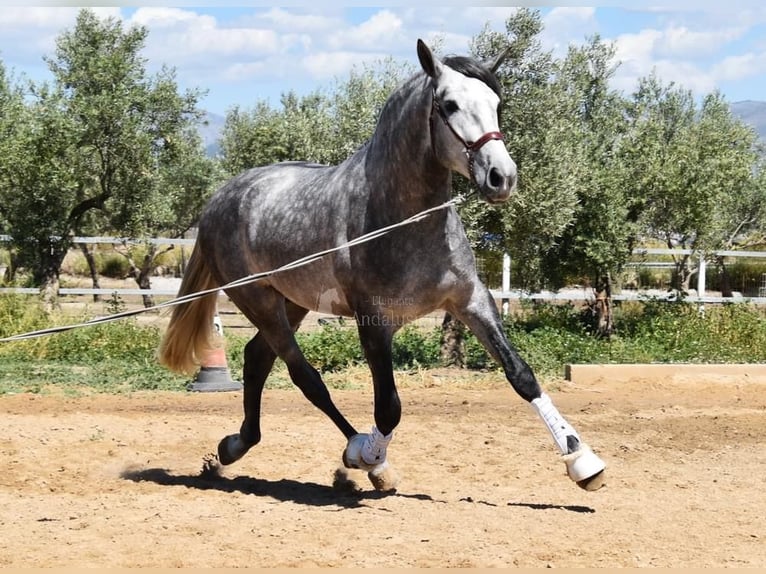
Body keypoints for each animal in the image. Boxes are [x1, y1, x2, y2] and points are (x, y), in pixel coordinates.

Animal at [160, 38, 608, 492]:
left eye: (497, 103)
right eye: (449, 105)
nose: (502, 177)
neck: (406, 219)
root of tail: (221, 198)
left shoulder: (471, 301)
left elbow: (522, 375)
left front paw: (582, 460)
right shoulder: (374, 322)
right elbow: (389, 406)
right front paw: (372, 456)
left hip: (292, 301)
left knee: (256, 359)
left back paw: (235, 446)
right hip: (257, 299)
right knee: (306, 377)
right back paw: (362, 455)